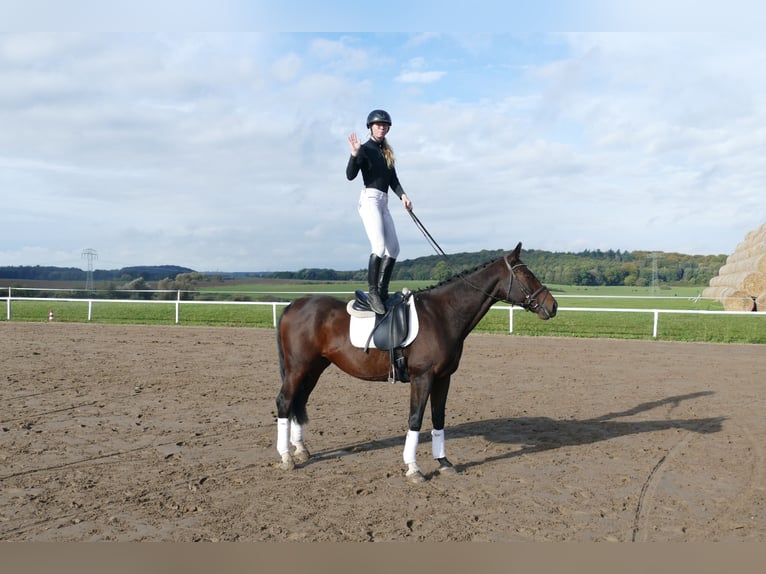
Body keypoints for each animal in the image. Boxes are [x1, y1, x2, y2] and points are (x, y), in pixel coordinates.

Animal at [276, 241, 560, 484]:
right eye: (526, 275)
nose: (553, 305)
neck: (443, 314)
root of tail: (294, 304)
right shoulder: (422, 377)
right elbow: (415, 419)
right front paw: (413, 468)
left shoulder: (444, 377)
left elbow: (438, 418)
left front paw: (444, 462)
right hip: (298, 368)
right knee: (284, 402)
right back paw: (287, 458)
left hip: (314, 368)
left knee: (299, 402)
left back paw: (301, 450)